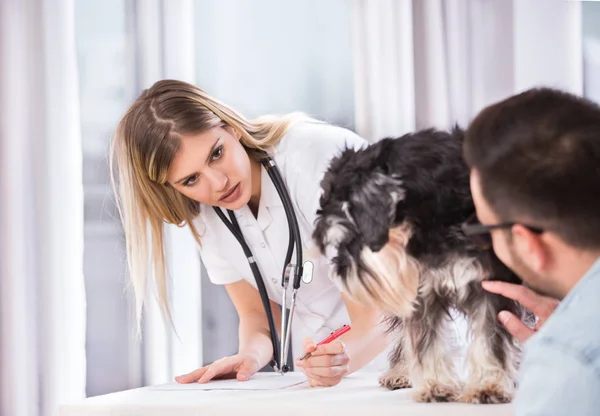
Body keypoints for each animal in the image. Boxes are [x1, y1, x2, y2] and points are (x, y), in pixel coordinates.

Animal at [312, 128, 528, 404]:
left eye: (348, 236)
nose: (339, 273)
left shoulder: (492, 285)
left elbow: (490, 338)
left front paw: (487, 386)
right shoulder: (423, 292)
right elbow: (426, 340)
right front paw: (436, 386)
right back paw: (401, 373)